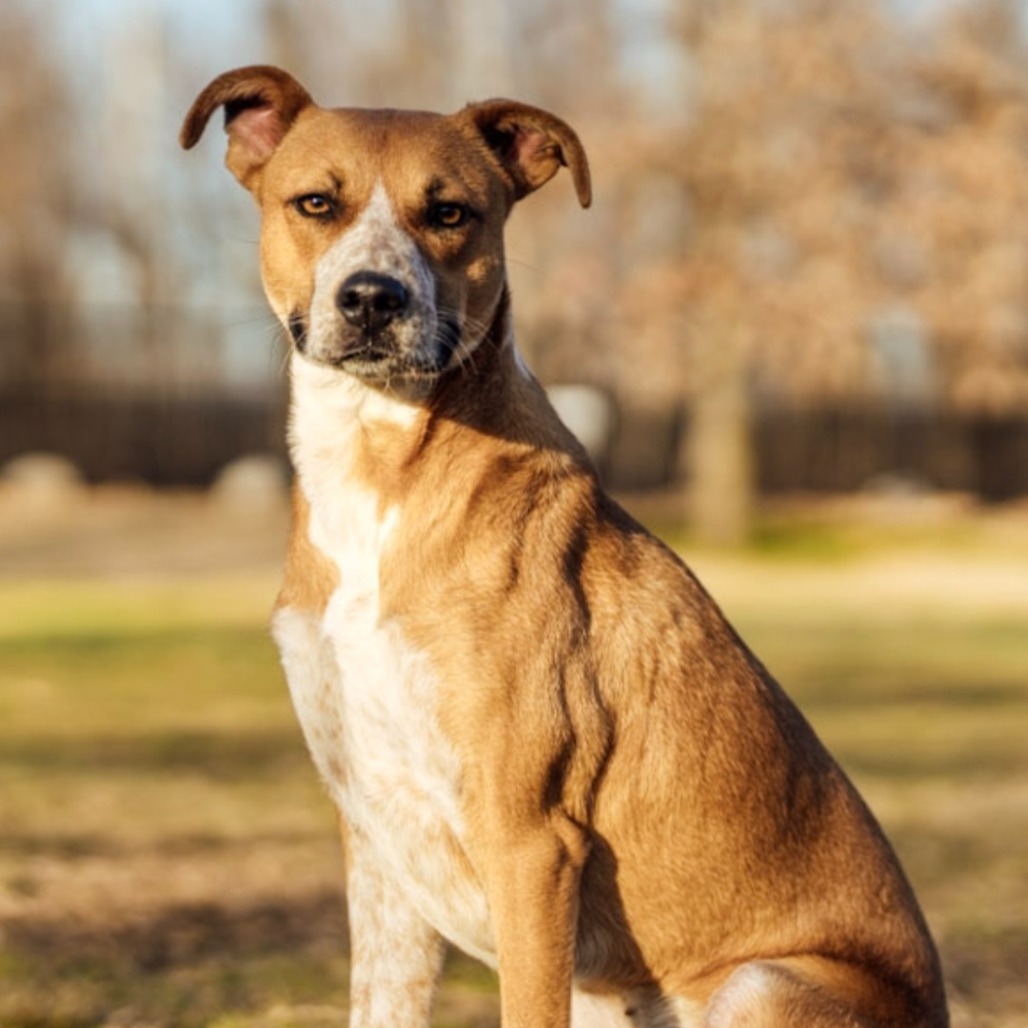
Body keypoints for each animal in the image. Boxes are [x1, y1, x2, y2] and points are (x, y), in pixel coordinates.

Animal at [182, 68, 945, 1023]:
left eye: (451, 213)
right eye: (315, 203)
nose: (371, 298)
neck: (380, 470)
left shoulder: (528, 841)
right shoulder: (377, 841)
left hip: (760, 983)